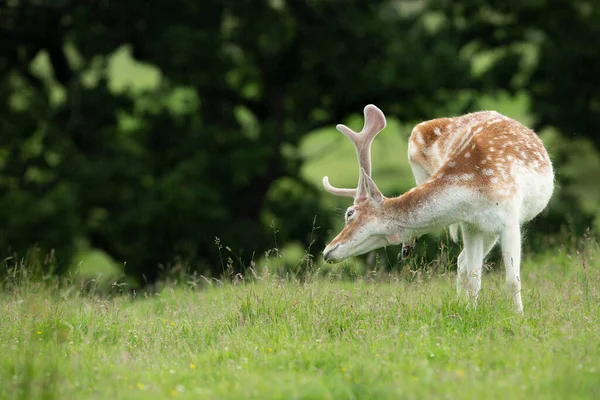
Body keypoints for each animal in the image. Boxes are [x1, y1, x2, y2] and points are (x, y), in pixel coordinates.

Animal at [324, 104, 552, 310]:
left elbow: (513, 279)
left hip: (492, 229)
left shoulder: (510, 219)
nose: (327, 251)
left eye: (350, 213)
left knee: (463, 261)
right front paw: (471, 312)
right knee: (461, 262)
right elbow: (474, 277)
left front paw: (519, 317)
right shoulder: (471, 225)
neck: (478, 185)